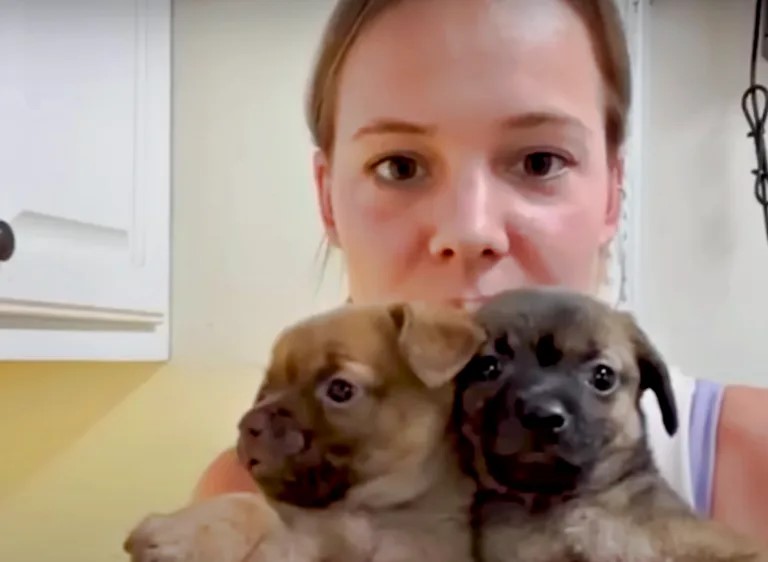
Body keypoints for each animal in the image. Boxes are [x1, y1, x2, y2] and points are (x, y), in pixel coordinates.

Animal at [126, 300, 486, 560]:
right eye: (263, 391)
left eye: (340, 389)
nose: (248, 423)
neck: (363, 514)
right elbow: (255, 507)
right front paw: (180, 528)